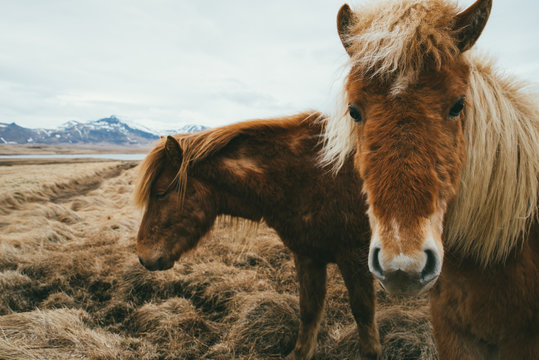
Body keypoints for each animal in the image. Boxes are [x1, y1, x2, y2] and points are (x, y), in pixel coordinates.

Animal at [134, 113, 384, 360]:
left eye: (161, 193)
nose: (143, 256)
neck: (316, 174)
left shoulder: (355, 255)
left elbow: (363, 315)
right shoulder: (307, 255)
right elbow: (309, 310)